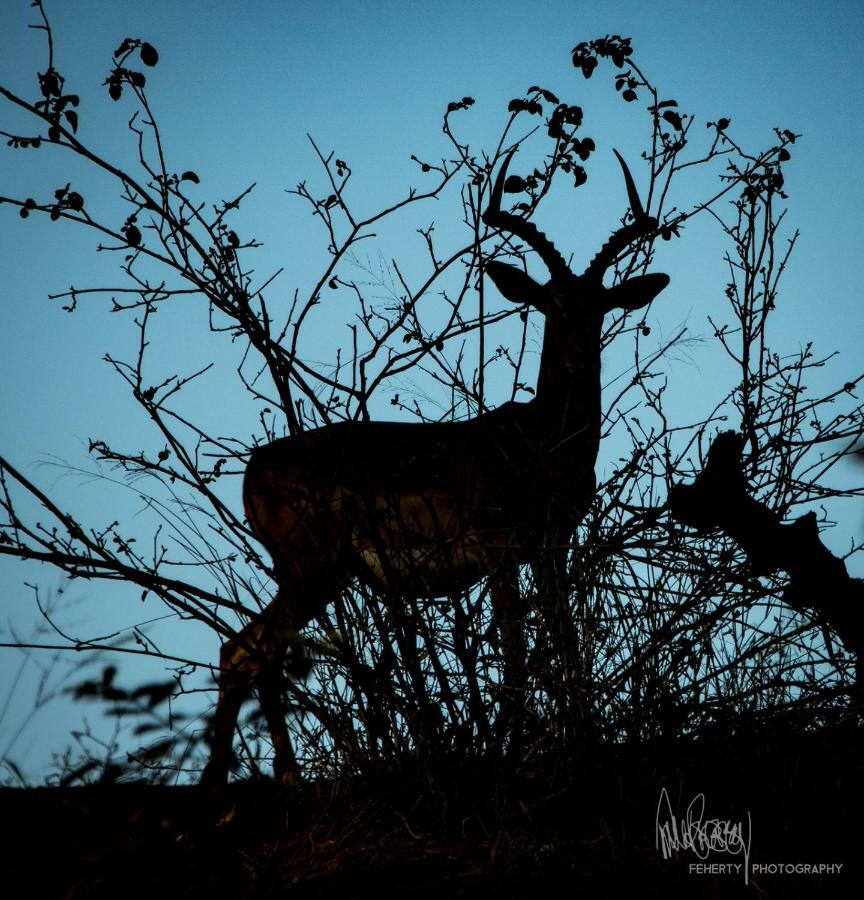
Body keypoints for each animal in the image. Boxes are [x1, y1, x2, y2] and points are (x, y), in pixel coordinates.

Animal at [202, 148, 668, 780]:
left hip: (317, 573)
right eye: (549, 303)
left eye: (600, 306)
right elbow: (516, 658)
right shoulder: (499, 549)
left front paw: (583, 743)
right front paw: (508, 752)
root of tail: (254, 467)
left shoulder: (552, 546)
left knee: (255, 652)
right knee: (241, 650)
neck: (541, 445)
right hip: (310, 567)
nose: (576, 358)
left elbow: (567, 646)